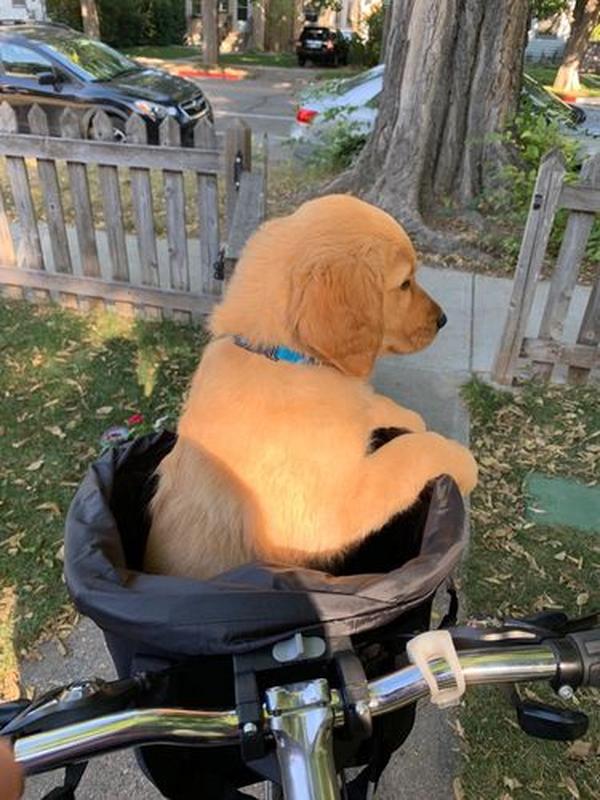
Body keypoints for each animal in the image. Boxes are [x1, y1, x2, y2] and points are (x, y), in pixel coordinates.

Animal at [143, 195, 476, 580]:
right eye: (405, 283)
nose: (443, 319)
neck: (283, 357)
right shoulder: (332, 513)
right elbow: (405, 454)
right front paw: (462, 460)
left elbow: (370, 406)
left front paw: (408, 417)